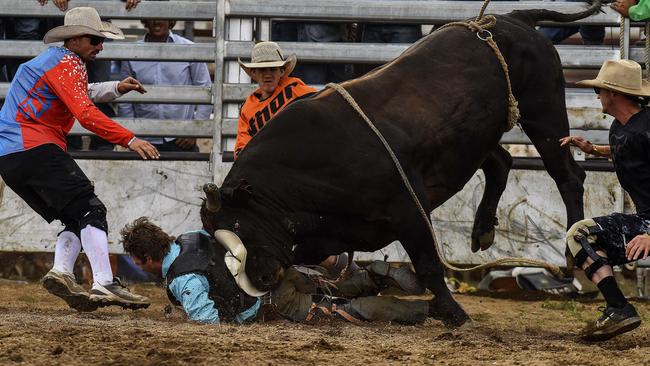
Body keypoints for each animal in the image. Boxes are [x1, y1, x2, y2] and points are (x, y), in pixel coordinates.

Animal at [201, 4, 596, 326]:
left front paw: (452, 312)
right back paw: (483, 228)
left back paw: (571, 252)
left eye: (238, 223)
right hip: (478, 135)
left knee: (567, 175)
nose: (258, 278)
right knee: (501, 161)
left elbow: (428, 263)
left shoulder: (408, 208)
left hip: (543, 109)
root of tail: (515, 18)